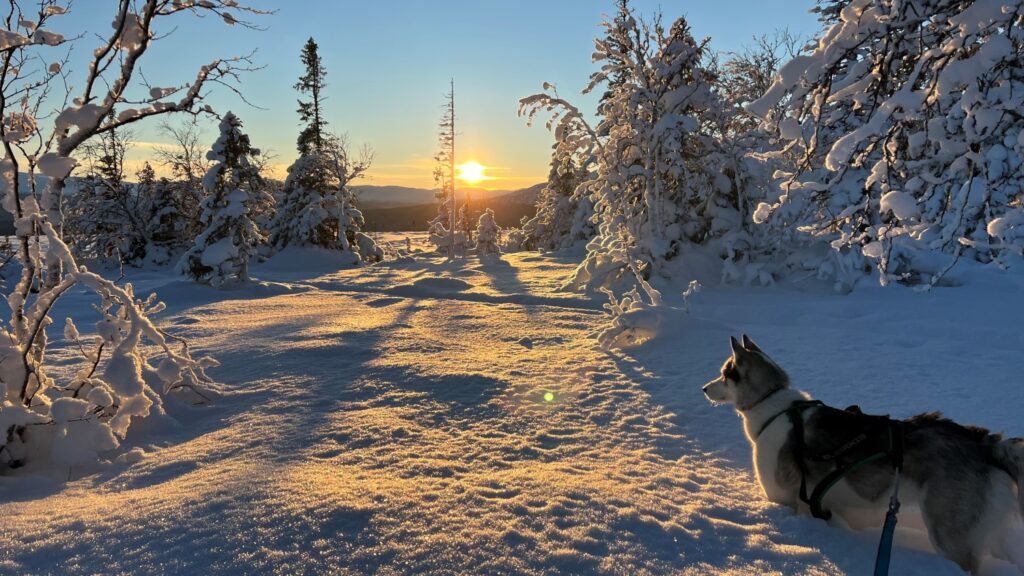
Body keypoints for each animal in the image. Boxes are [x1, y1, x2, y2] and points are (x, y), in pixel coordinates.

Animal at [704, 334, 1024, 569]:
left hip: (949, 534)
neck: (774, 407)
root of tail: (984, 441)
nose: (704, 388)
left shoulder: (785, 500)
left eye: (722, 374)